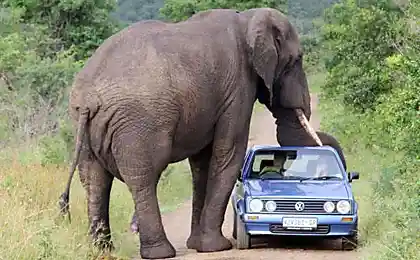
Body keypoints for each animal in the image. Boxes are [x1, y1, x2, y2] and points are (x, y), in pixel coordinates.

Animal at [58, 7, 322, 258]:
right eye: (296, 60)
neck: (248, 19)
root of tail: (89, 98)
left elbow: (202, 163)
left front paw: (197, 245)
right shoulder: (237, 88)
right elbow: (229, 154)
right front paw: (216, 247)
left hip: (83, 125)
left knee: (95, 181)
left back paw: (103, 251)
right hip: (138, 123)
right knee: (144, 178)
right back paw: (160, 253)